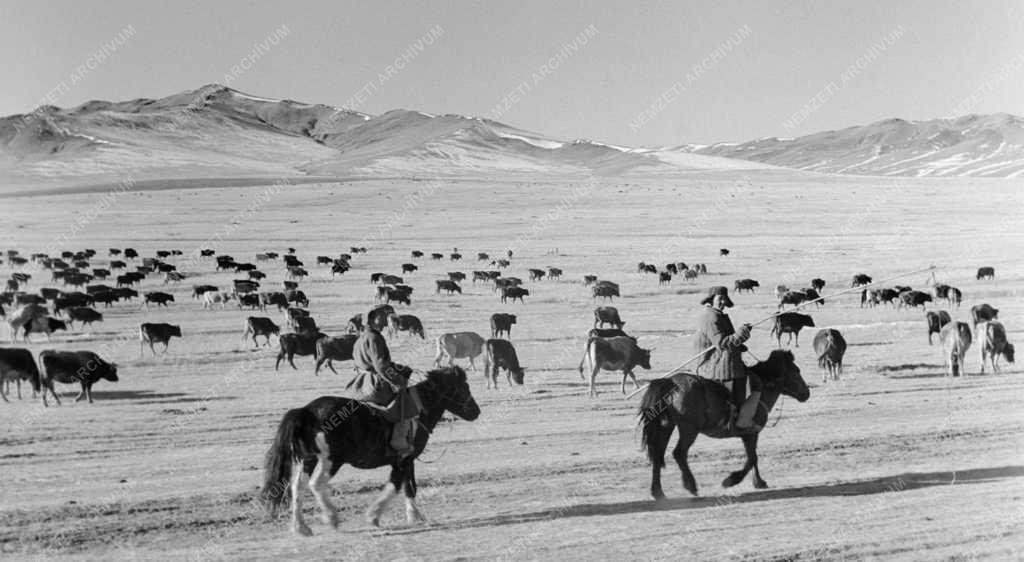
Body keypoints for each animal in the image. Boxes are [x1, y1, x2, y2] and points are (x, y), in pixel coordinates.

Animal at [258, 364, 477, 536]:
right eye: (463, 388)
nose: (476, 411)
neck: (419, 408)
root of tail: (307, 411)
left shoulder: (408, 461)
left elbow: (409, 487)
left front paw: (415, 516)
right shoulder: (403, 460)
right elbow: (396, 485)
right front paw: (374, 516)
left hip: (309, 459)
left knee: (297, 486)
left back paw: (301, 527)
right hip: (332, 460)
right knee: (316, 484)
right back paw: (331, 518)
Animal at [638, 350, 806, 499]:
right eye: (796, 371)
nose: (806, 393)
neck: (763, 388)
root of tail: (670, 382)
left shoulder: (749, 435)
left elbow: (753, 456)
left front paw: (759, 482)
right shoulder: (751, 433)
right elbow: (752, 458)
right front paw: (731, 481)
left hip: (666, 427)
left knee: (657, 455)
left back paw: (658, 492)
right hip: (689, 430)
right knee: (679, 453)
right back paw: (691, 486)